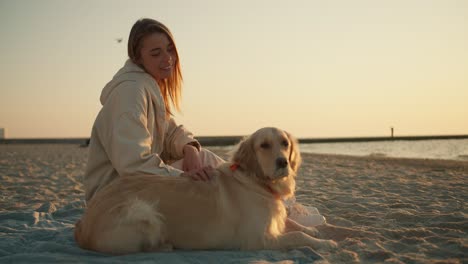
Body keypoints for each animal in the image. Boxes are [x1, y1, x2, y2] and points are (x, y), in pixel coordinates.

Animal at [74, 127, 336, 255]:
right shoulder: (258, 239)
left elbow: (293, 225)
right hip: (142, 210)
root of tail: (82, 225)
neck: (256, 182)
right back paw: (165, 246)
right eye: (264, 145)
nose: (283, 162)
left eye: (285, 143)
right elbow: (297, 236)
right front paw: (326, 242)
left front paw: (314, 229)